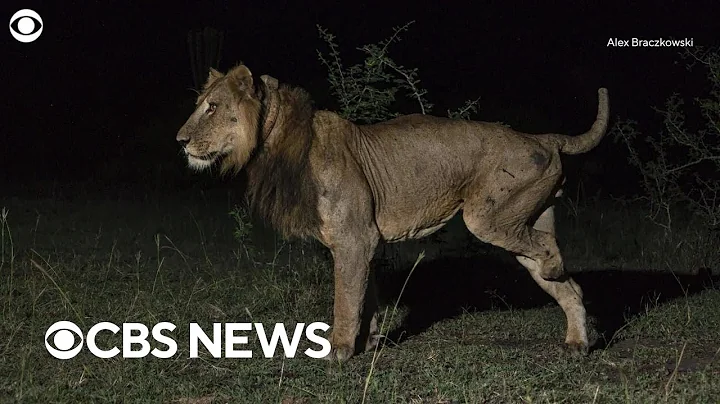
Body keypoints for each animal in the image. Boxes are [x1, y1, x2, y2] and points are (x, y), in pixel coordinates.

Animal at [177, 64, 609, 361]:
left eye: (212, 108)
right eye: (201, 105)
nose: (180, 141)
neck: (277, 142)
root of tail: (541, 137)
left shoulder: (354, 239)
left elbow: (346, 299)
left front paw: (338, 350)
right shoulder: (364, 241)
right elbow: (365, 295)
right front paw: (367, 342)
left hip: (487, 217)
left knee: (548, 251)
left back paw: (556, 272)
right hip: (523, 218)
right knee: (570, 286)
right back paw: (577, 343)